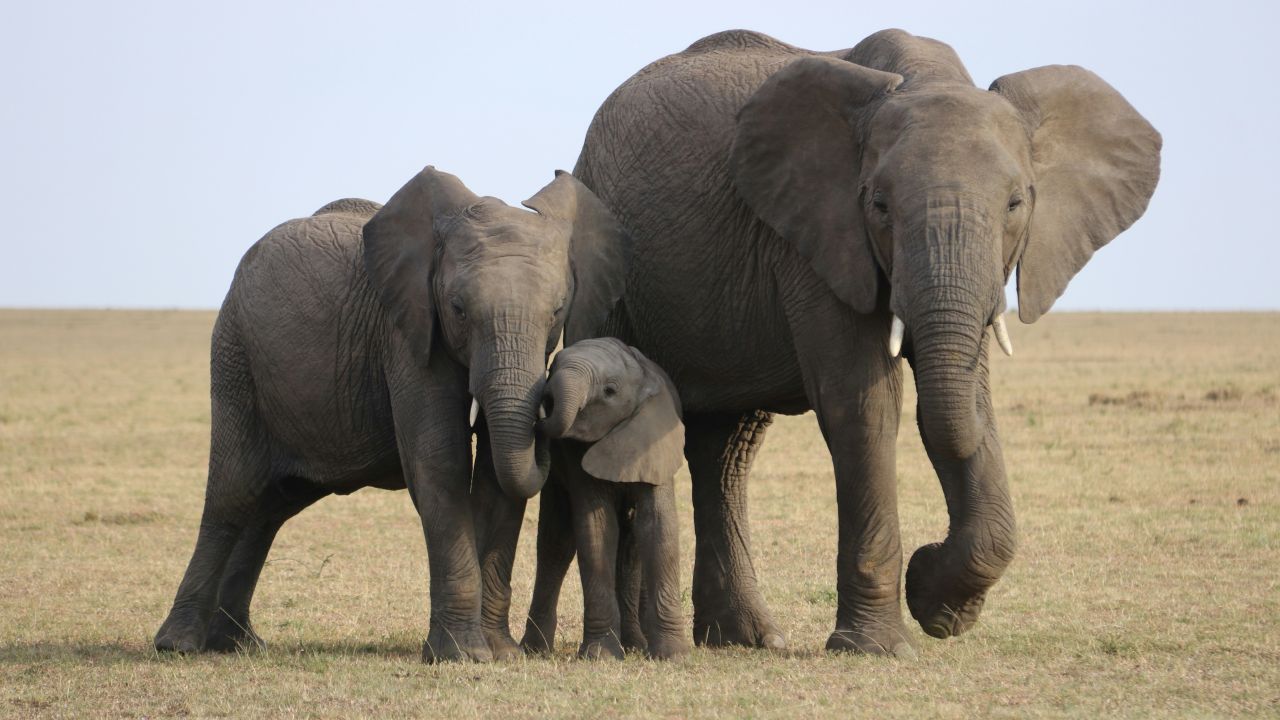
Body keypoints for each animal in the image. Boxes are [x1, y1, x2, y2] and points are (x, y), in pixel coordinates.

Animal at [152, 165, 627, 661]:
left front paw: (501, 653)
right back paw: (179, 644)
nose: (549, 409)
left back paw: (237, 643)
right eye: (458, 310)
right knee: (234, 494)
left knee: (270, 507)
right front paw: (463, 655)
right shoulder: (406, 333)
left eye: (557, 311)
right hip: (235, 356)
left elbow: (497, 478)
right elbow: (440, 462)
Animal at [519, 335, 691, 655]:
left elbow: (658, 526)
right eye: (552, 369)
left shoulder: (654, 439)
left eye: (609, 391)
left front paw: (673, 654)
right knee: (555, 543)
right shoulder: (574, 454)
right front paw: (601, 655)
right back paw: (535, 650)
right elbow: (597, 529)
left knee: (630, 545)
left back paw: (634, 645)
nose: (543, 403)